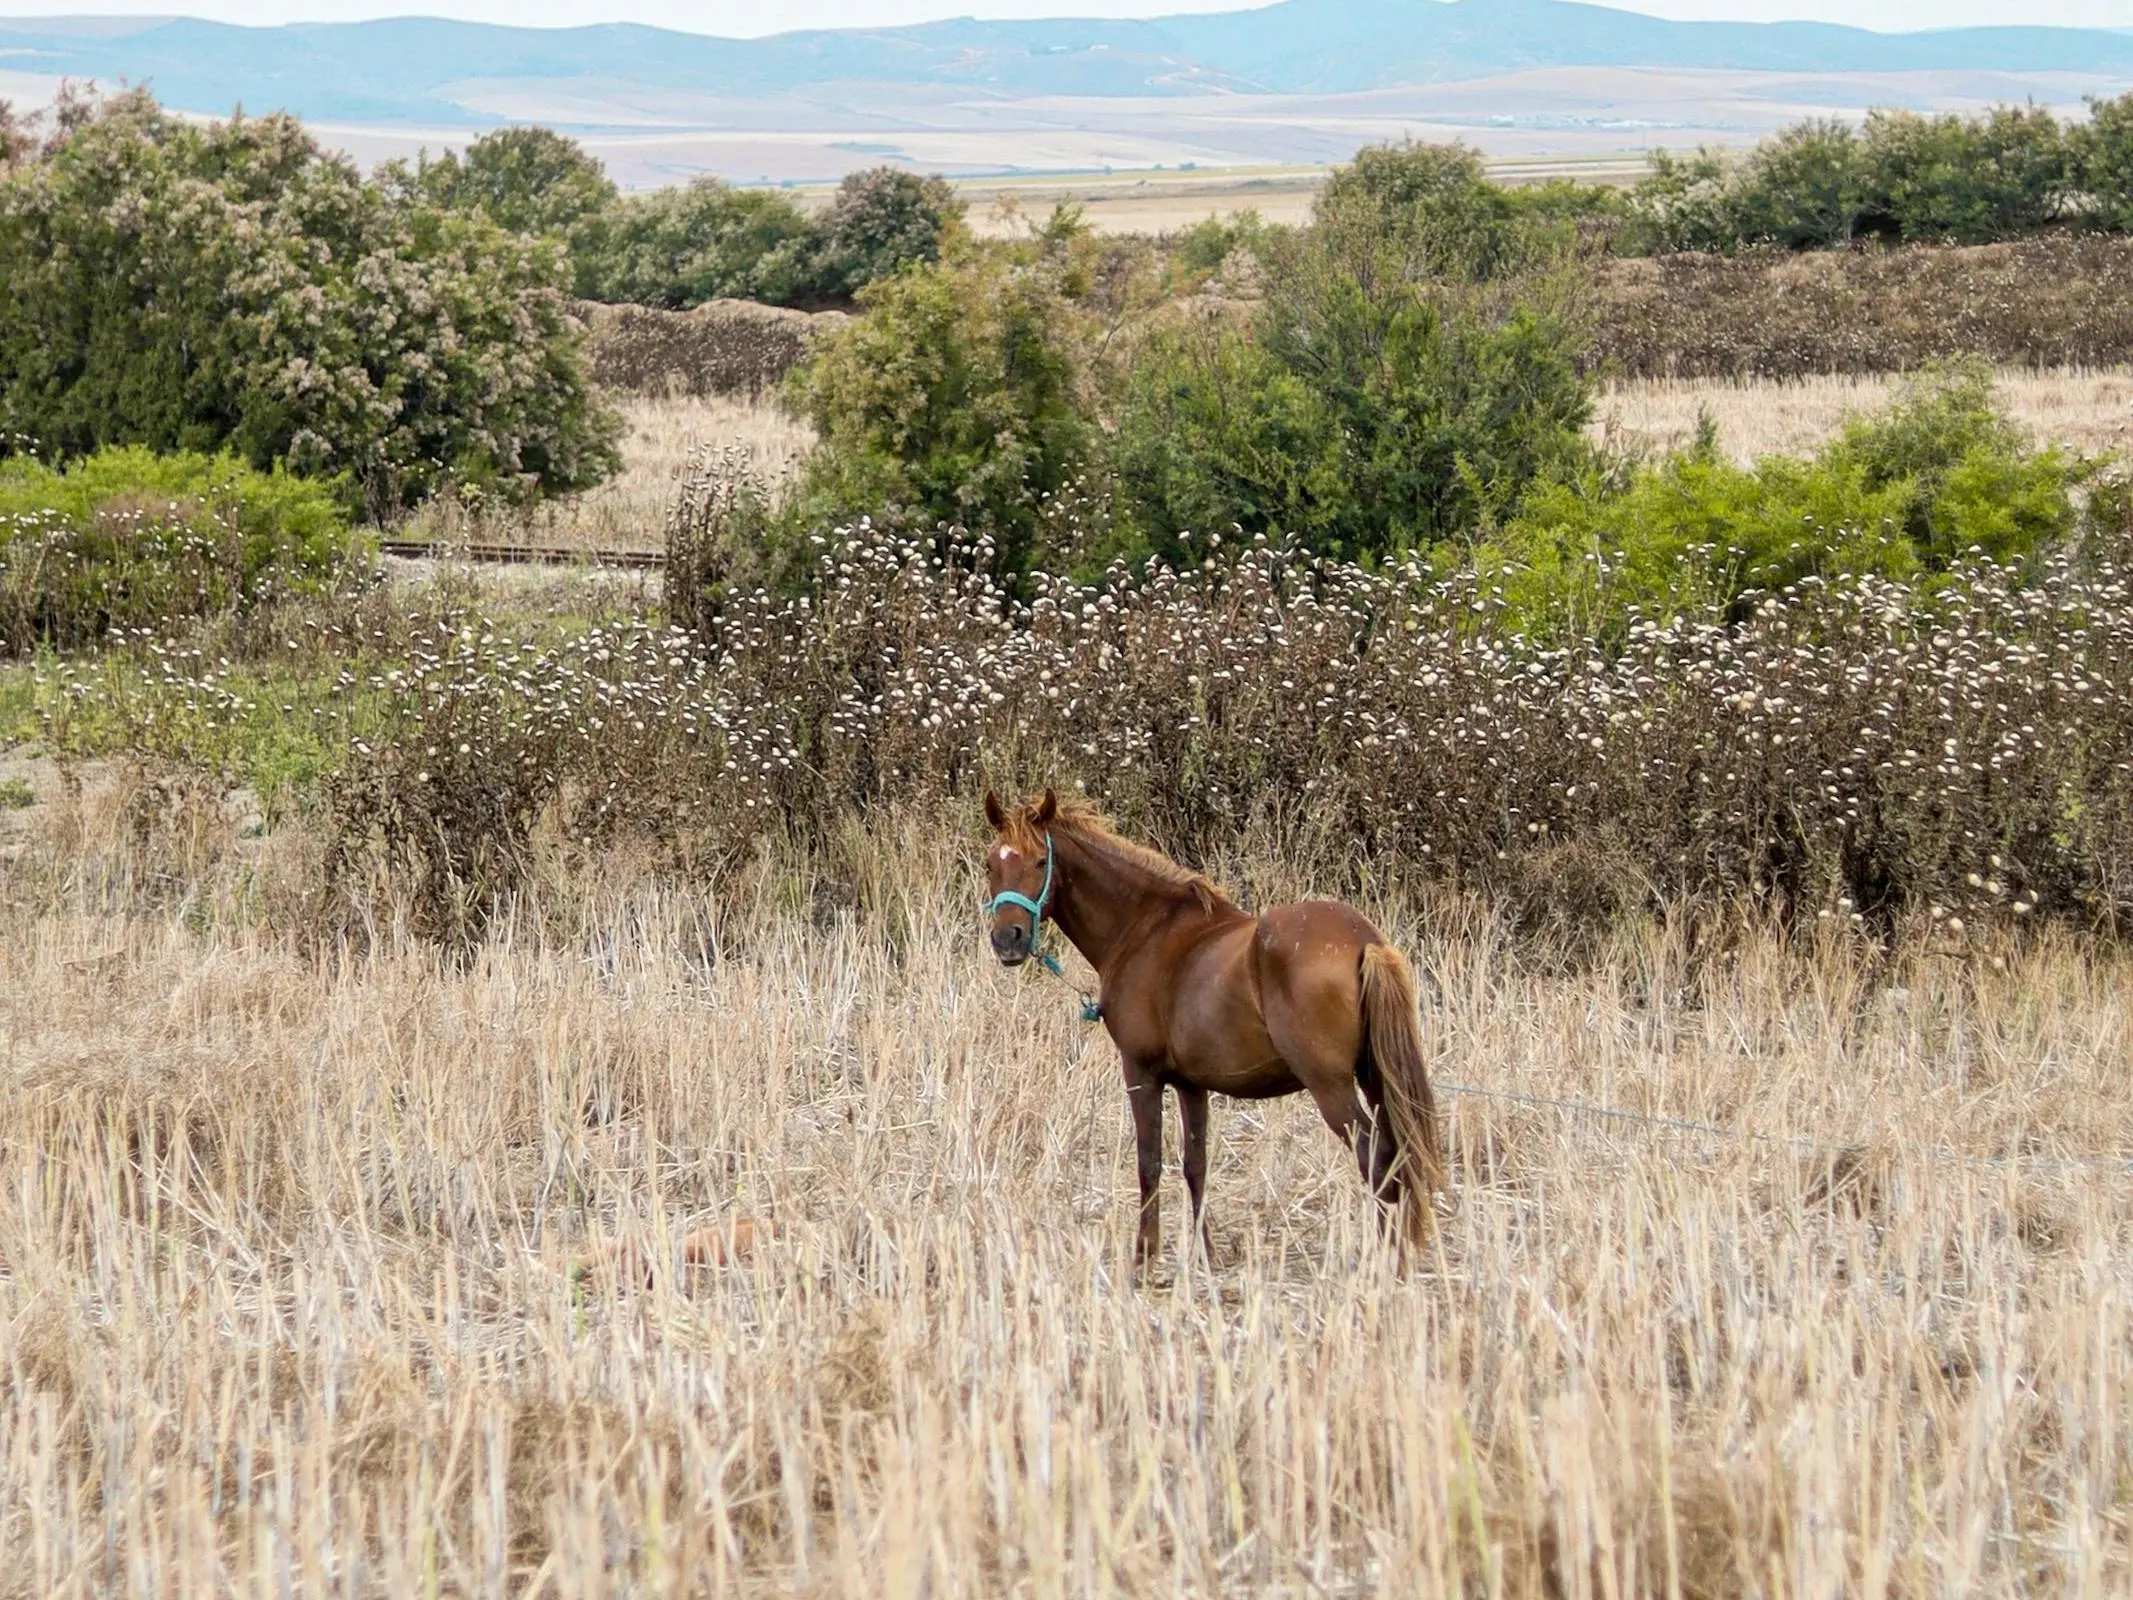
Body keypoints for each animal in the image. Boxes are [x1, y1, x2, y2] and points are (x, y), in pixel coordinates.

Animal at [976, 789, 1441, 1262]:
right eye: (990, 864)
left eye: (1040, 861)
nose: (1008, 939)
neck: (1145, 928)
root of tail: (1363, 941)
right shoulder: (1191, 1085)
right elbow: (1194, 1165)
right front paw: (1205, 1255)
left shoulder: (1141, 1072)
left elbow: (1149, 1163)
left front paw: (1144, 1256)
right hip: (1375, 1079)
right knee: (1398, 1156)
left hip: (1332, 1086)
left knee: (1377, 1159)